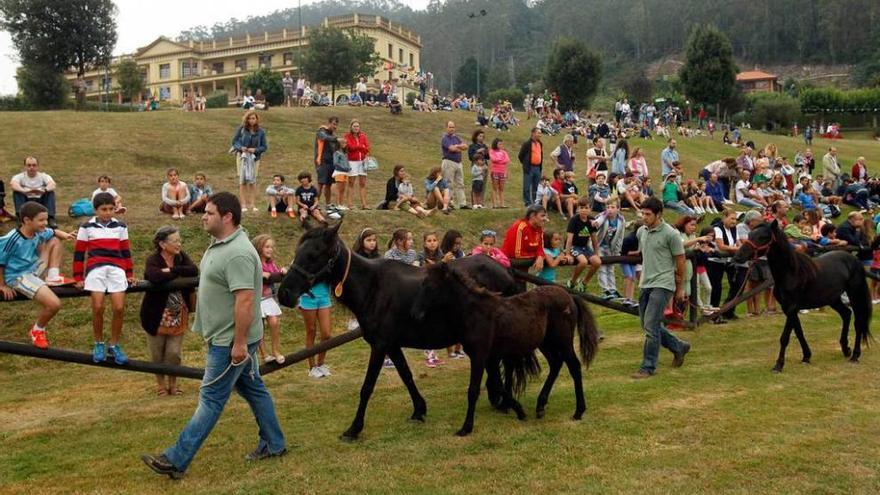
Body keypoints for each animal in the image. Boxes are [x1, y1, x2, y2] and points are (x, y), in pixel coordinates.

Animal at [410, 262, 600, 436]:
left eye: (430, 286)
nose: (416, 314)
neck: (474, 312)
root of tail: (570, 296)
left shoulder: (479, 356)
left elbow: (474, 390)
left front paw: (466, 428)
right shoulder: (488, 357)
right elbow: (496, 383)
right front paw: (519, 410)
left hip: (563, 341)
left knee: (574, 366)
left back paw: (578, 411)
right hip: (545, 343)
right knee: (556, 363)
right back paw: (540, 406)